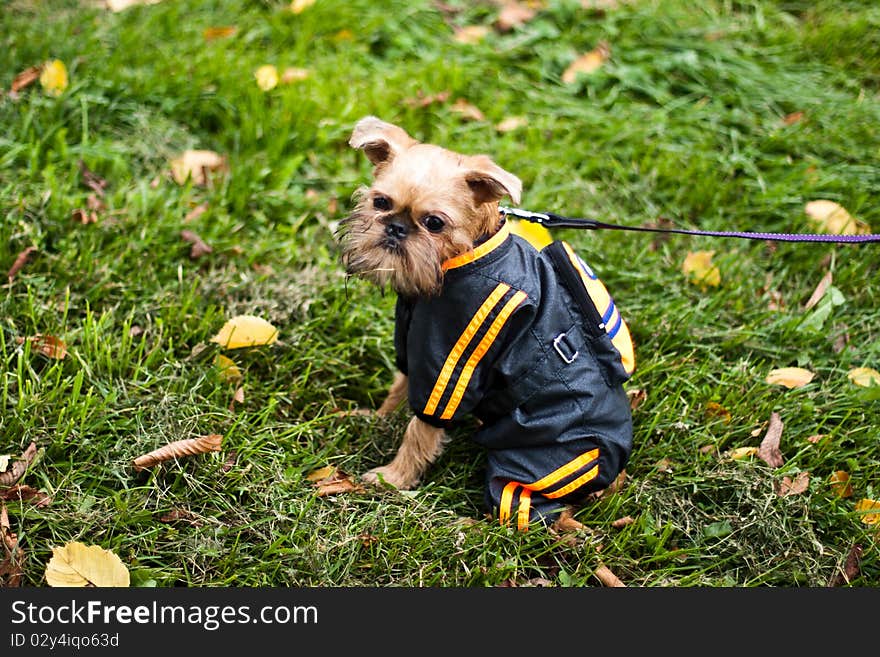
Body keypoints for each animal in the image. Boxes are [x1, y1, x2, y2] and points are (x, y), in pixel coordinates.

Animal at [336, 115, 632, 532]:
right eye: (381, 203)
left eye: (434, 223)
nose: (395, 227)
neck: (459, 260)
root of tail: (614, 471)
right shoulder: (415, 350)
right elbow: (398, 388)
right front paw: (376, 419)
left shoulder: (450, 365)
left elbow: (420, 430)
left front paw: (392, 479)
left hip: (537, 466)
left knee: (529, 518)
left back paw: (464, 526)